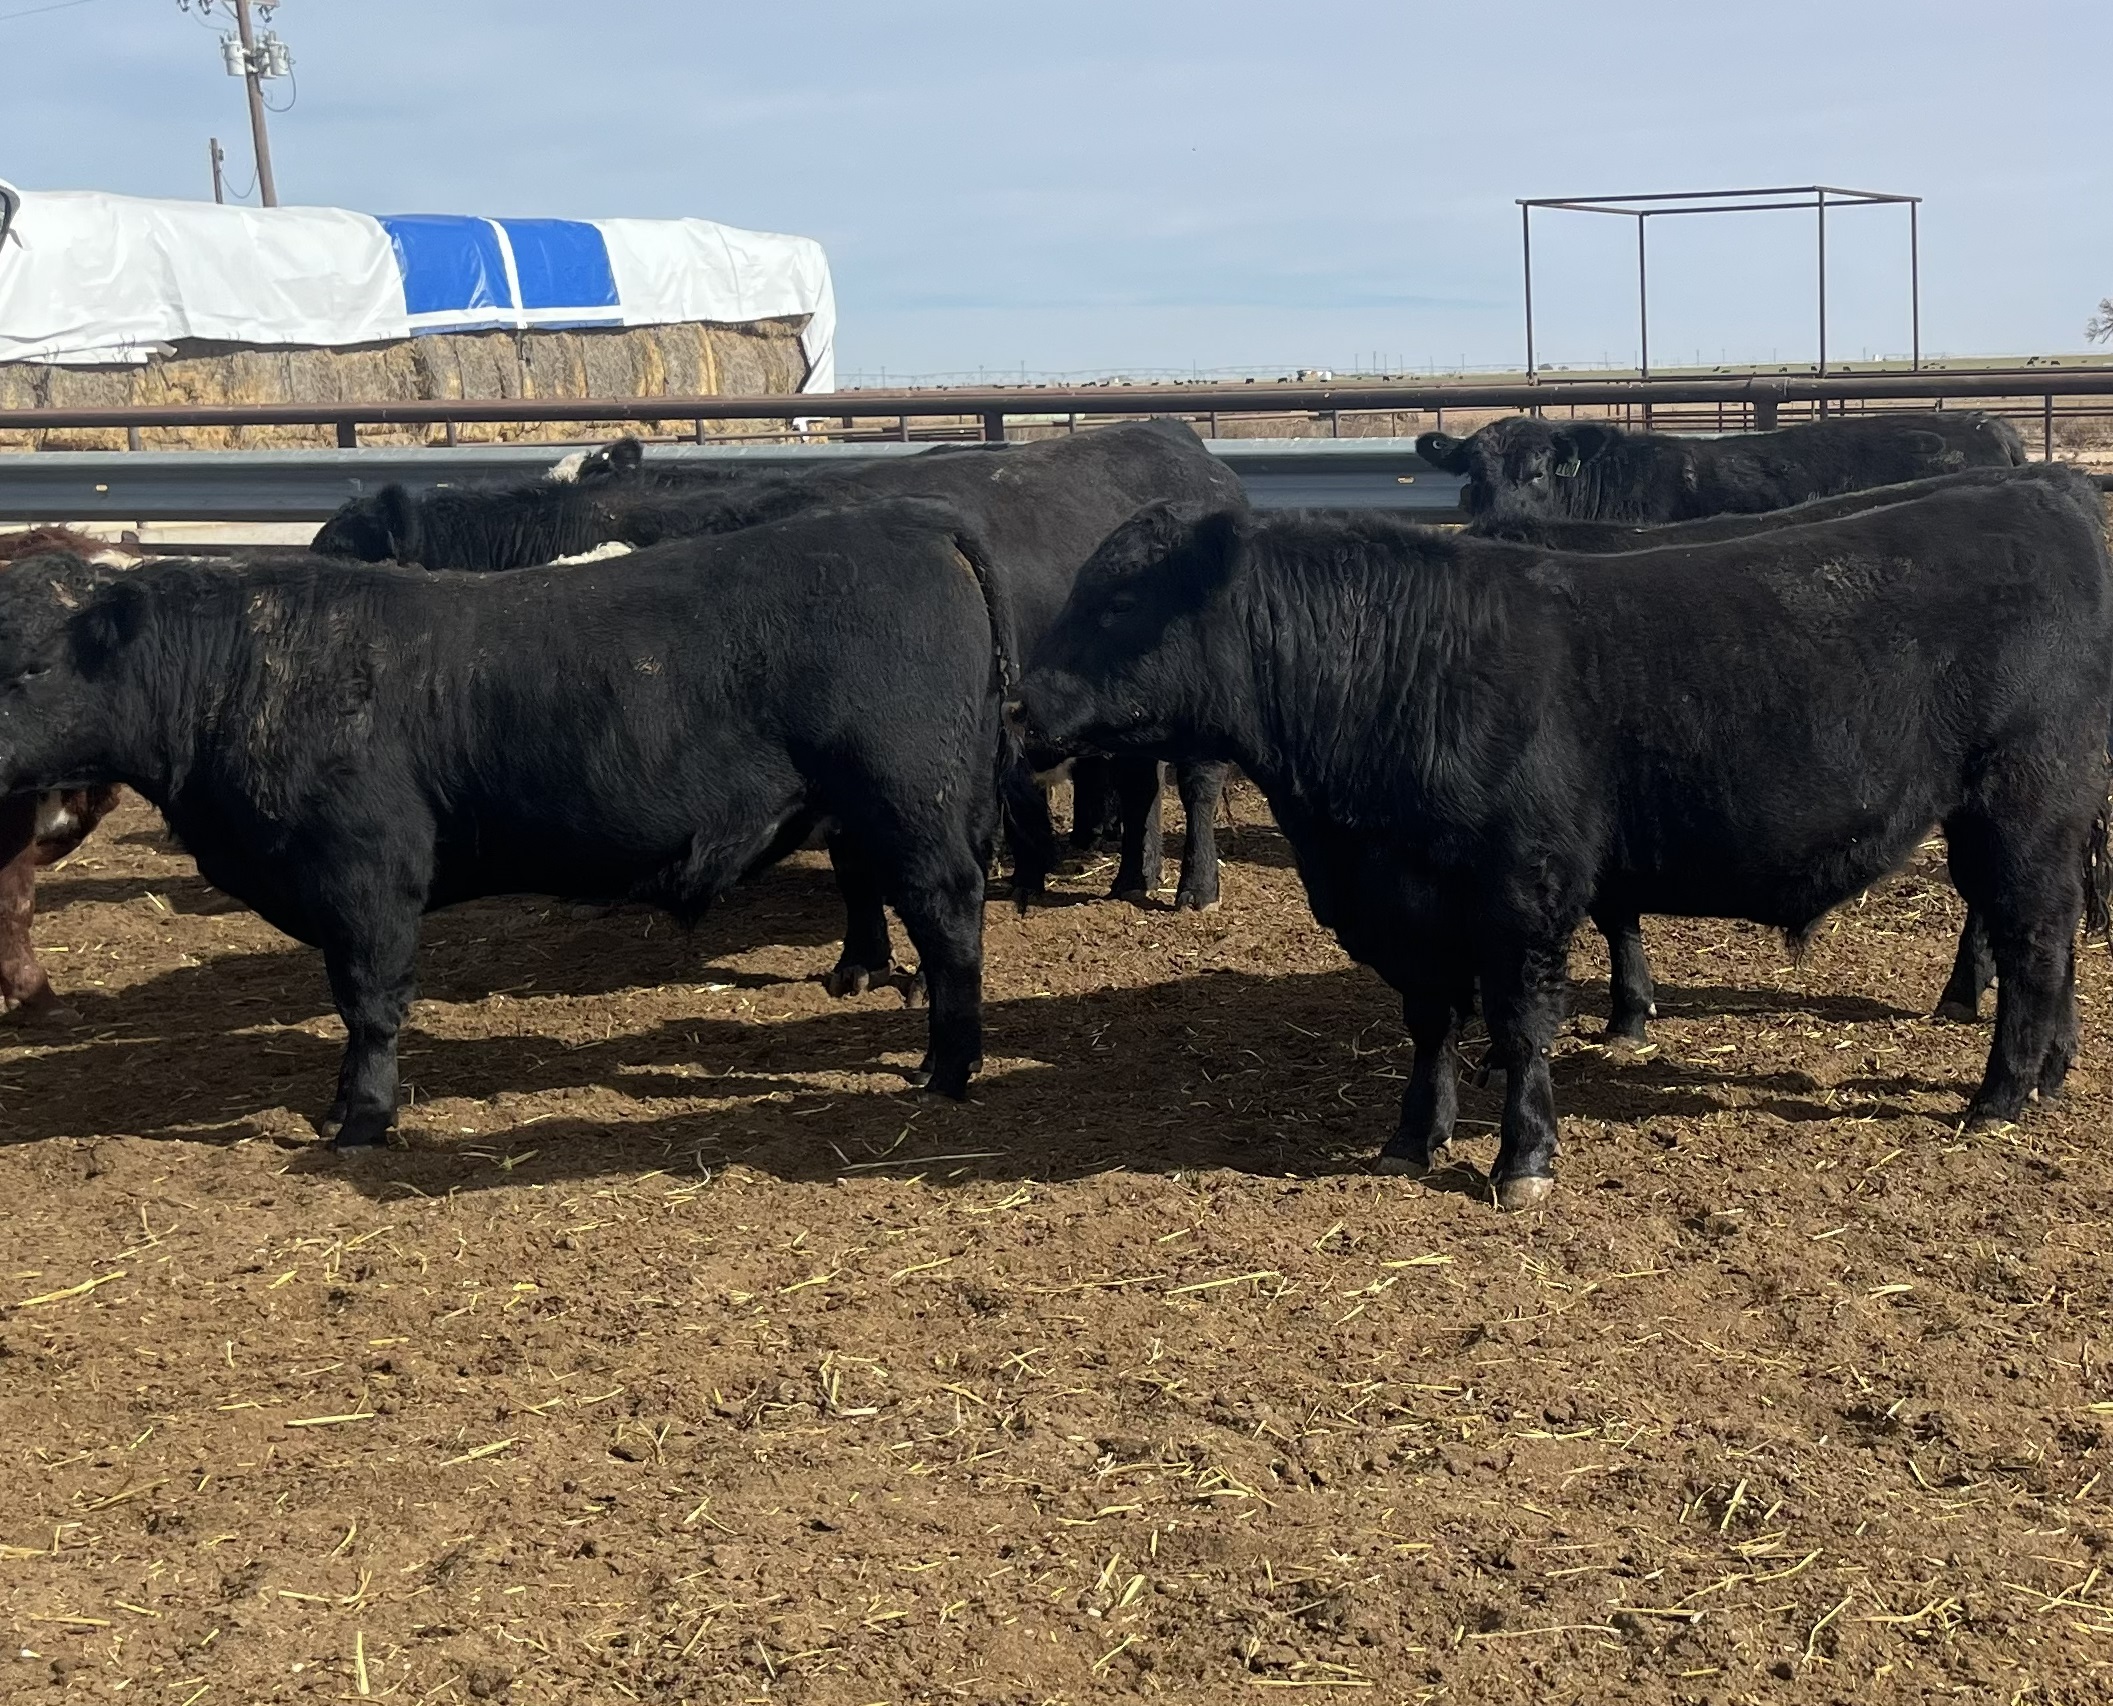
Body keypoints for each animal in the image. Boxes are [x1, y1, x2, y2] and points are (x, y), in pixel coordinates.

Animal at [0, 499, 1033, 1147]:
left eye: (29, 666)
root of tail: (913, 520)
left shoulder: (368, 879)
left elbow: (369, 1006)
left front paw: (362, 1122)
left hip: (911, 804)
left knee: (949, 926)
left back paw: (945, 1069)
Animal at [312, 421, 1245, 912]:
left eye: (340, 555)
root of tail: (1174, 438)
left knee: (1191, 783)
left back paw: (1189, 884)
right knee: (1137, 783)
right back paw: (1127, 873)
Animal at [1013, 464, 2113, 1210]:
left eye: (1122, 598)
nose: (1020, 701)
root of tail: (2043, 492)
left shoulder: (1522, 888)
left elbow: (1518, 1024)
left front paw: (1522, 1158)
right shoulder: (1410, 907)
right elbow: (1430, 1022)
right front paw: (1411, 1136)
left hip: (2021, 803)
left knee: (2033, 941)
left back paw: (1997, 1097)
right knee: (2049, 941)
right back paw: (2048, 1076)